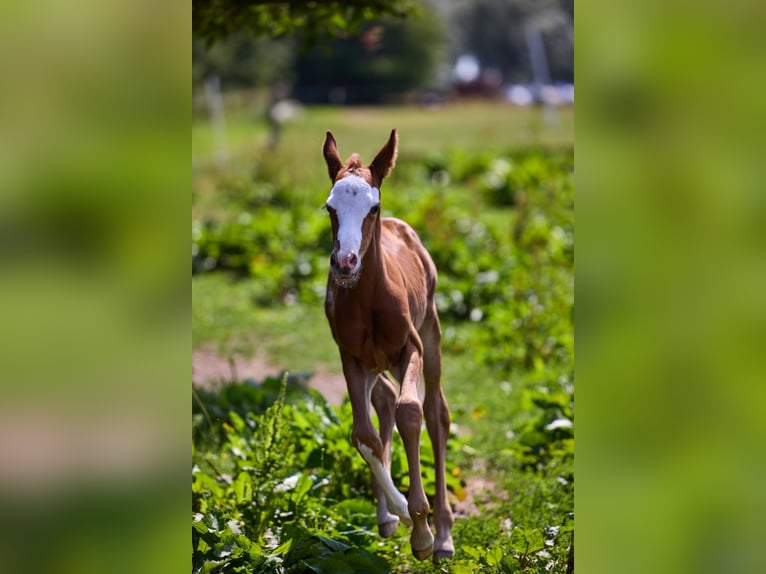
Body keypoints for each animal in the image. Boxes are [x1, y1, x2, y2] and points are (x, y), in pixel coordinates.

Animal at [321, 129, 454, 562]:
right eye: (330, 207)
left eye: (372, 207)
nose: (344, 262)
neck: (368, 300)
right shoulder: (351, 359)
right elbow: (365, 435)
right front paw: (402, 512)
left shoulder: (409, 349)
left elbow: (411, 412)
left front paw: (424, 533)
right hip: (375, 365)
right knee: (383, 402)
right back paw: (387, 518)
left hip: (431, 331)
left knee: (435, 412)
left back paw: (443, 534)